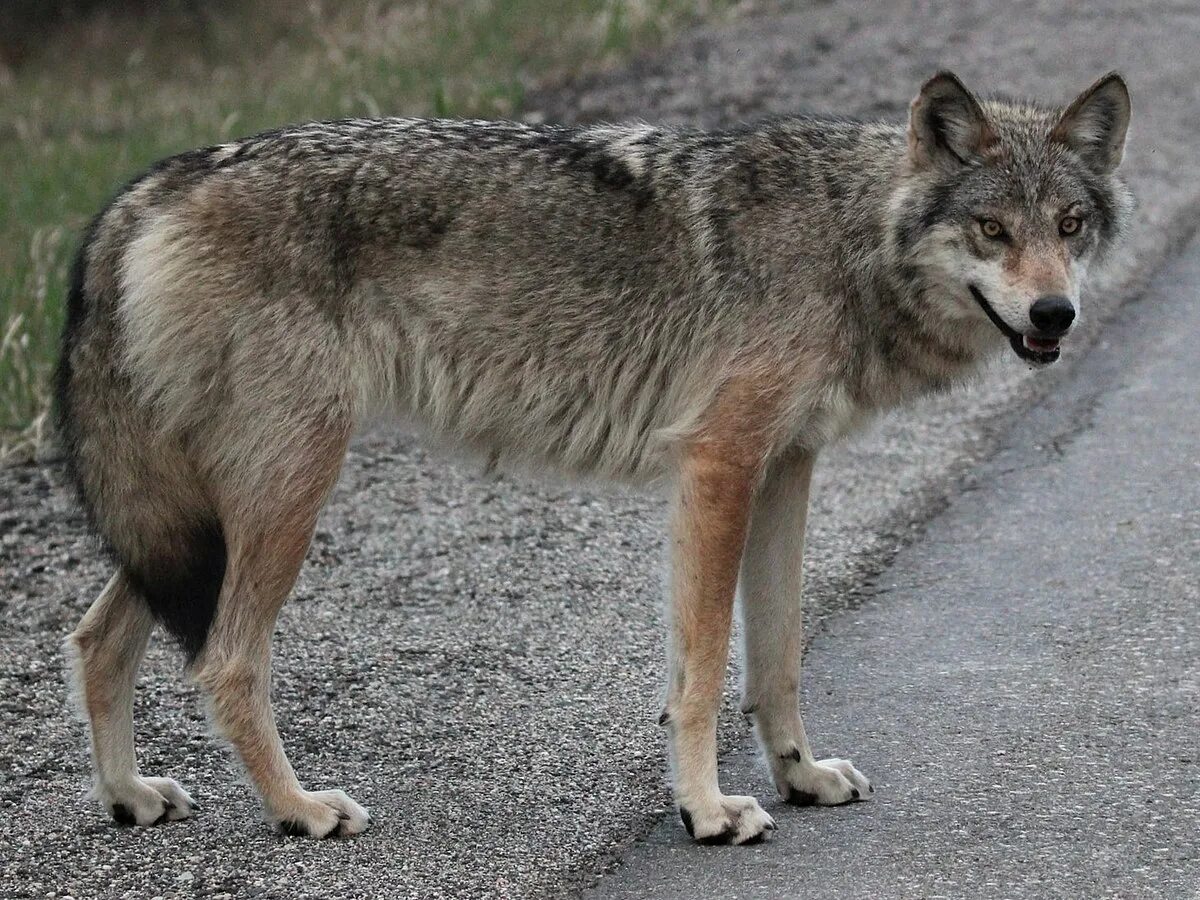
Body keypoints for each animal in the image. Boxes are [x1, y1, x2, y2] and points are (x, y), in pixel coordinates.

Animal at [54, 70, 1123, 844]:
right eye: (992, 228)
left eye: (1069, 227)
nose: (1054, 314)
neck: (843, 240)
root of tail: (157, 182)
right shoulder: (718, 469)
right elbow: (702, 671)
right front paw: (708, 810)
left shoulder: (785, 470)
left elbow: (776, 658)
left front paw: (803, 776)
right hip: (284, 496)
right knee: (227, 661)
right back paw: (299, 810)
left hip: (191, 527)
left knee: (97, 639)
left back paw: (130, 797)